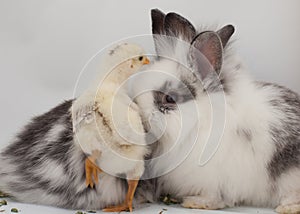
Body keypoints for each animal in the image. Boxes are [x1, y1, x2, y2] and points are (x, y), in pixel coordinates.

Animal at [131, 9, 300, 213]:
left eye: (169, 99)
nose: (140, 114)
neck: (201, 122)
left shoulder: (216, 178)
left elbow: (215, 196)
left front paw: (196, 202)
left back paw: (288, 207)